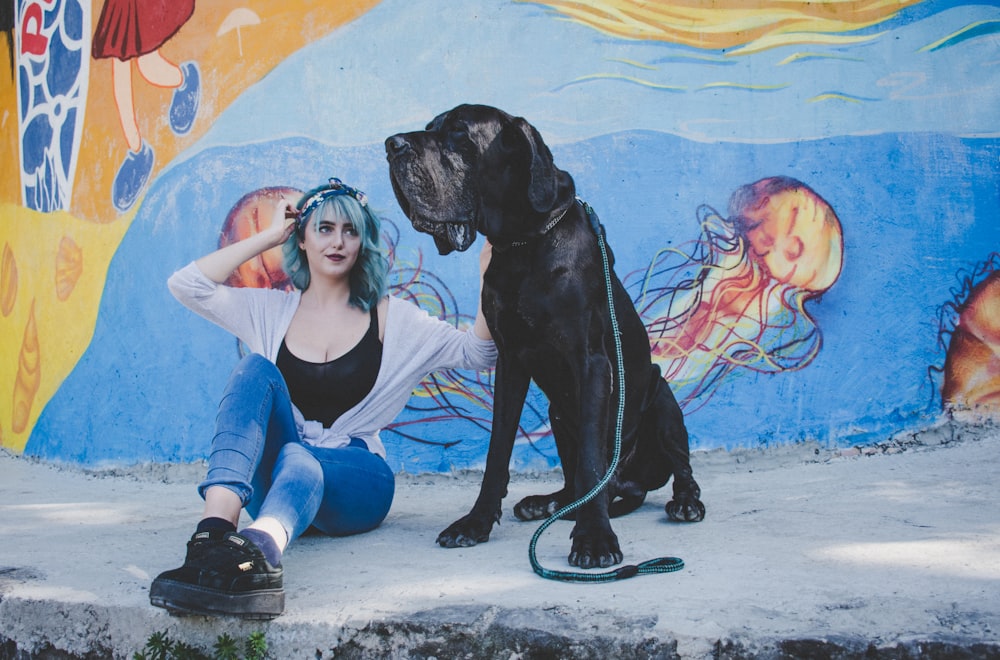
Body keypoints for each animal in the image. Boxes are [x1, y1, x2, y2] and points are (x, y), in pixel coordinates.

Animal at [382, 103, 704, 568]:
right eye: (430, 129)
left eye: (458, 133)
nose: (391, 145)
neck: (523, 244)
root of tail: (630, 481)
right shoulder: (510, 363)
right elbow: (498, 449)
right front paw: (477, 522)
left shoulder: (593, 365)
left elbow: (591, 460)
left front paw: (594, 538)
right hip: (557, 412)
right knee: (579, 483)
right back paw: (550, 503)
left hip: (662, 399)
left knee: (672, 468)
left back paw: (683, 501)